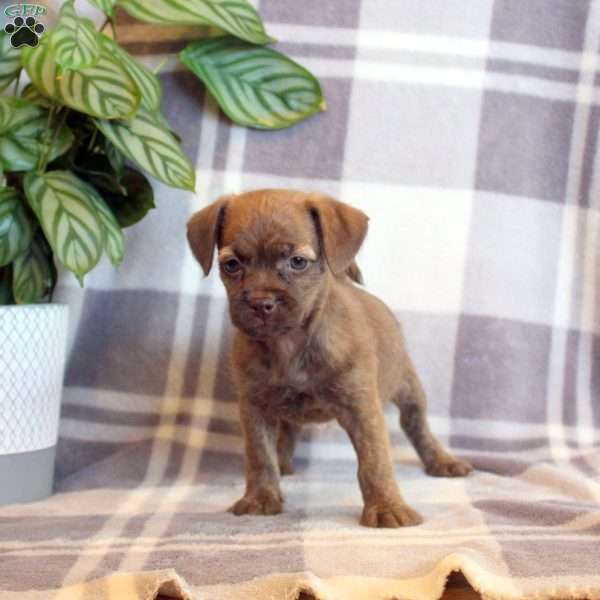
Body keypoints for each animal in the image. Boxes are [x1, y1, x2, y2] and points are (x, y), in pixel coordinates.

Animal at [189, 190, 474, 528]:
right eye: (231, 265)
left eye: (298, 262)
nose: (261, 302)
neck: (288, 344)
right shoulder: (255, 408)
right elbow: (259, 456)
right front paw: (261, 497)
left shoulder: (362, 408)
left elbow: (374, 462)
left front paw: (386, 507)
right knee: (289, 432)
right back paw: (283, 463)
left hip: (409, 389)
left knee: (416, 426)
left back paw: (441, 461)